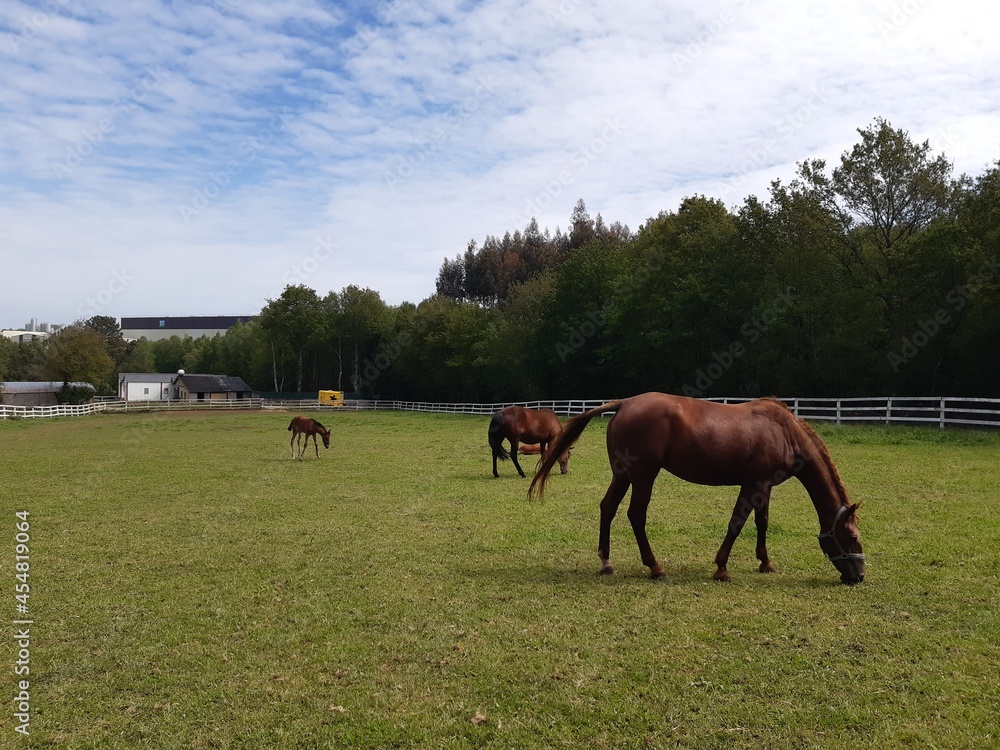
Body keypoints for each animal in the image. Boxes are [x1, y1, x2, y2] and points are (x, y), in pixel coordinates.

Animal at [529, 393, 865, 585]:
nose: (859, 576)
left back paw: (606, 563)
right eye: (851, 537)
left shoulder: (763, 486)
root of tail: (624, 403)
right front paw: (721, 568)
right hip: (643, 476)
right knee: (636, 515)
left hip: (623, 475)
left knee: (608, 507)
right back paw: (655, 567)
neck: (784, 432)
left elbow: (762, 522)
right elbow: (737, 523)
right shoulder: (753, 484)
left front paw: (765, 562)